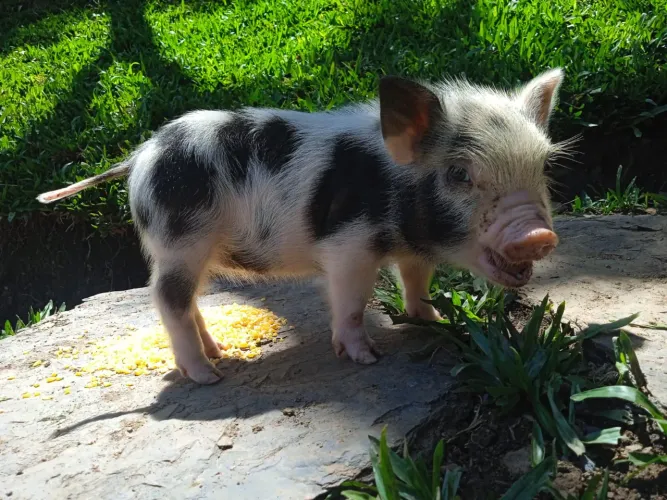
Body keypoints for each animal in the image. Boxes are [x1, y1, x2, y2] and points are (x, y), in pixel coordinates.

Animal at [37, 68, 568, 385]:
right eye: (459, 174)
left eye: (543, 167)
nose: (539, 235)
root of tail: (139, 156)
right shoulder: (349, 246)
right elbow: (350, 303)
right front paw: (367, 358)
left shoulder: (410, 248)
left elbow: (416, 280)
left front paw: (431, 320)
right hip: (178, 239)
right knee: (166, 298)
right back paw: (208, 376)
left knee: (187, 302)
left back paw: (221, 352)